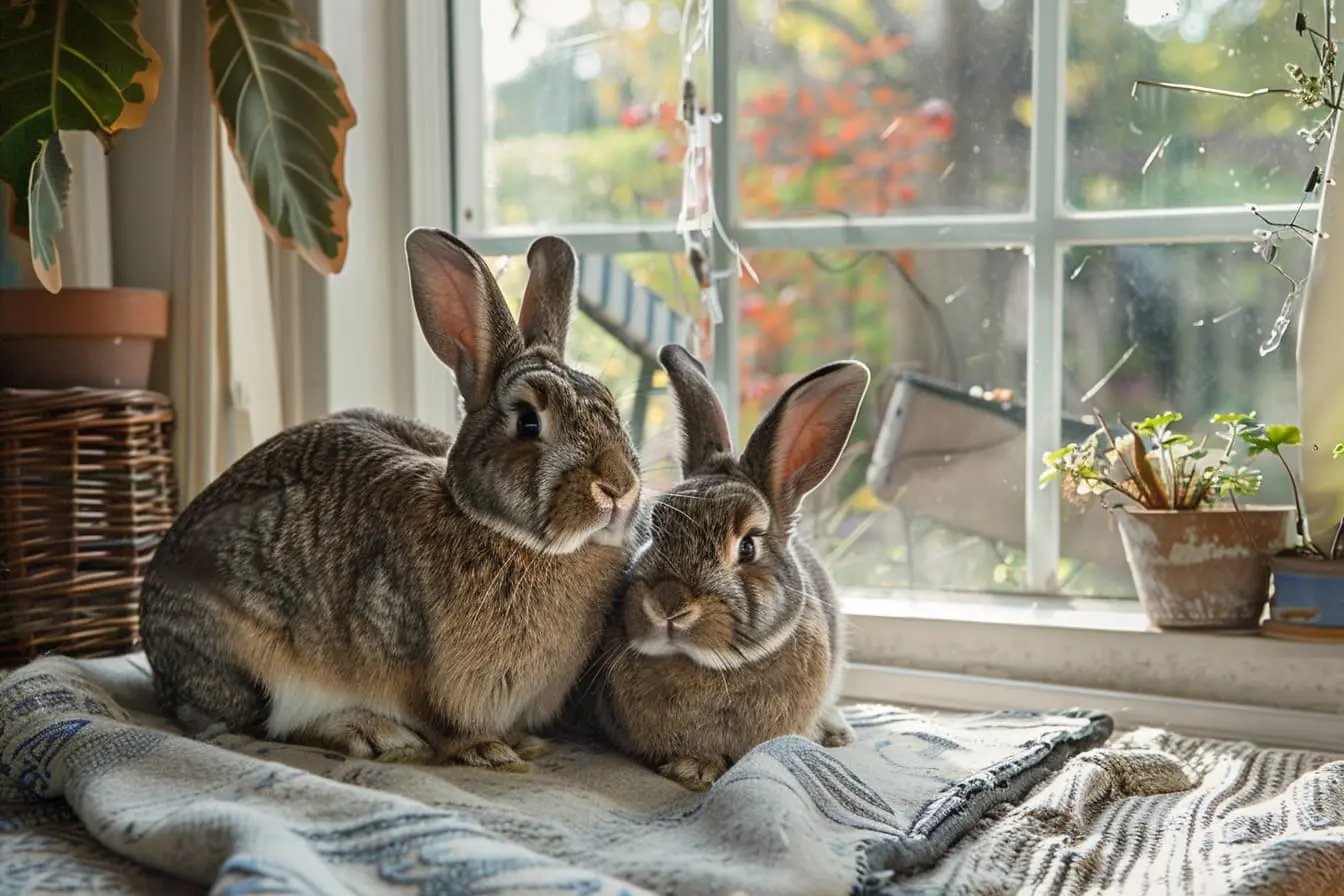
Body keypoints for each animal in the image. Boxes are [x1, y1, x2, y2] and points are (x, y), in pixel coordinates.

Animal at [139, 228, 642, 768]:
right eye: (528, 423)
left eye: (612, 409)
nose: (619, 487)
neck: (492, 525)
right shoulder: (410, 659)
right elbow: (437, 719)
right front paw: (486, 750)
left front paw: (521, 741)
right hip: (241, 660)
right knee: (254, 727)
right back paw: (372, 735)